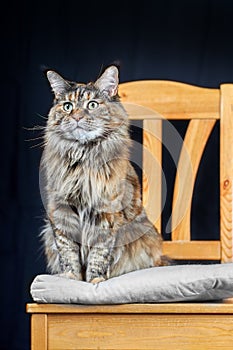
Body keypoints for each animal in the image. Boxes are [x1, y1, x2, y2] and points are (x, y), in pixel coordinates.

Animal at [40, 65, 167, 284]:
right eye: (67, 106)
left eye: (92, 105)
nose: (76, 117)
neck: (83, 159)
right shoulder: (61, 212)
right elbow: (68, 253)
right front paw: (71, 278)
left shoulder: (106, 215)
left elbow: (99, 255)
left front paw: (94, 281)